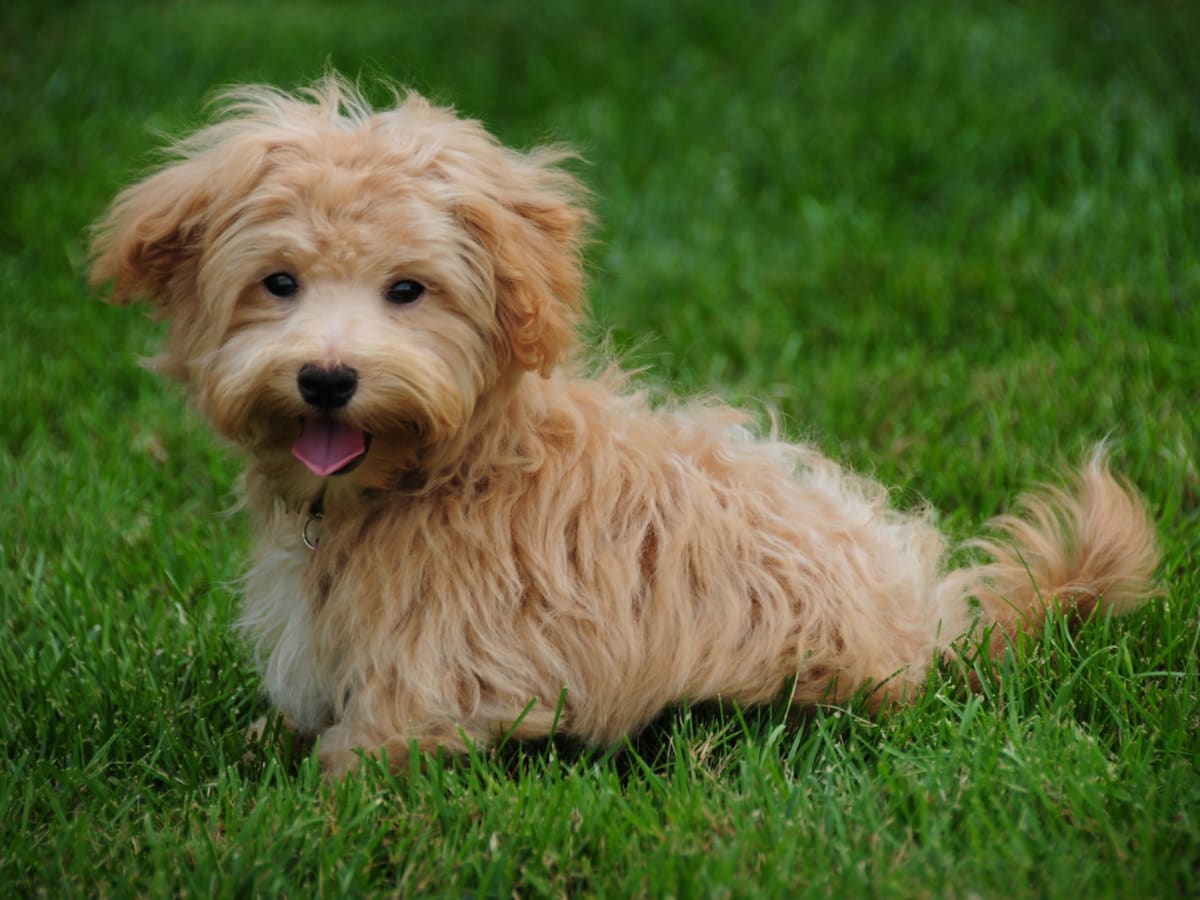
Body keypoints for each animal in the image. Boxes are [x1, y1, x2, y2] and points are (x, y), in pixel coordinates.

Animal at [93, 74, 1161, 777]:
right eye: (279, 283)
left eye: (408, 290)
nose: (326, 378)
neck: (444, 468)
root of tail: (933, 624)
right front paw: (262, 740)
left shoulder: (452, 674)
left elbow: (375, 748)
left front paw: (308, 789)